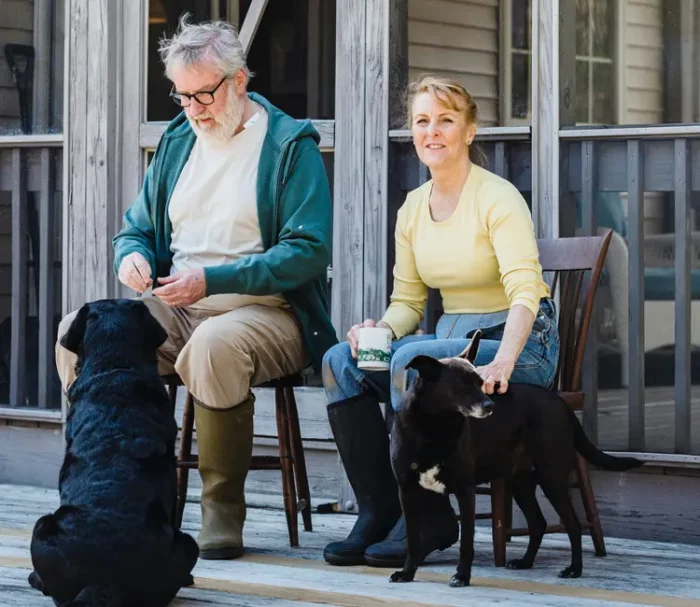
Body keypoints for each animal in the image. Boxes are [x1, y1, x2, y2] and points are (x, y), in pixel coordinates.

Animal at [392, 332, 644, 588]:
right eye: (461, 385)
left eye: (480, 383)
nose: (490, 406)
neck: (433, 428)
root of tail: (561, 402)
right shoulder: (406, 490)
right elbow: (413, 539)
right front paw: (407, 573)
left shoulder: (465, 490)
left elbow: (466, 542)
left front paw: (462, 576)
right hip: (520, 482)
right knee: (538, 523)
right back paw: (525, 561)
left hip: (551, 477)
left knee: (572, 524)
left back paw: (574, 569)